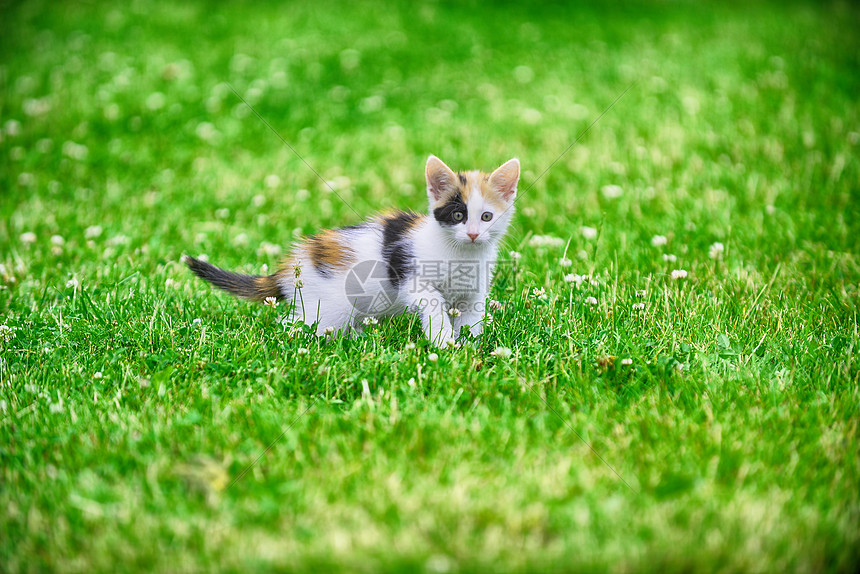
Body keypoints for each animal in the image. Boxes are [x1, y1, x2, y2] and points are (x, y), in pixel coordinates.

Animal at [186, 155, 516, 346]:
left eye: (487, 216)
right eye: (458, 215)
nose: (473, 234)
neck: (463, 254)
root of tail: (292, 266)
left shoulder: (474, 293)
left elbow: (472, 320)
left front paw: (469, 347)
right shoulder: (413, 279)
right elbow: (433, 306)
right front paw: (444, 342)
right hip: (329, 306)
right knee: (296, 324)